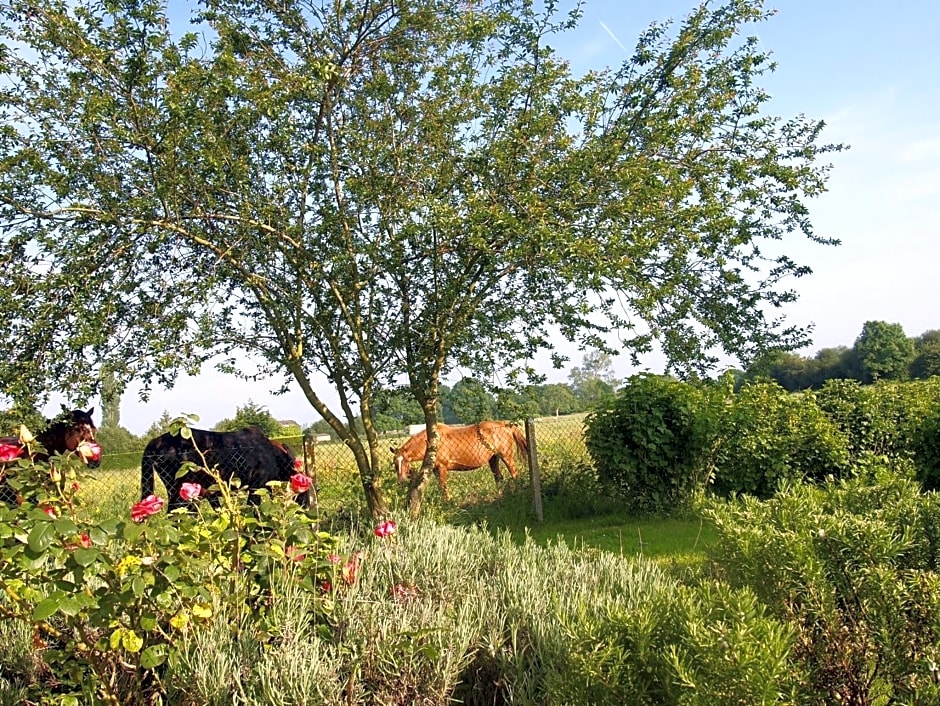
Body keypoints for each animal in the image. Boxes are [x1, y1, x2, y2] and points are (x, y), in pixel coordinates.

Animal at [390, 420, 528, 498]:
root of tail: (505, 424)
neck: (433, 442)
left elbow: (444, 486)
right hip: (493, 459)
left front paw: (448, 503)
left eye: (405, 462)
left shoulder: (442, 468)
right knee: (499, 478)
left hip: (506, 457)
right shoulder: (435, 470)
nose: (401, 481)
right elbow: (441, 487)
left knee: (514, 474)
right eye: (395, 464)